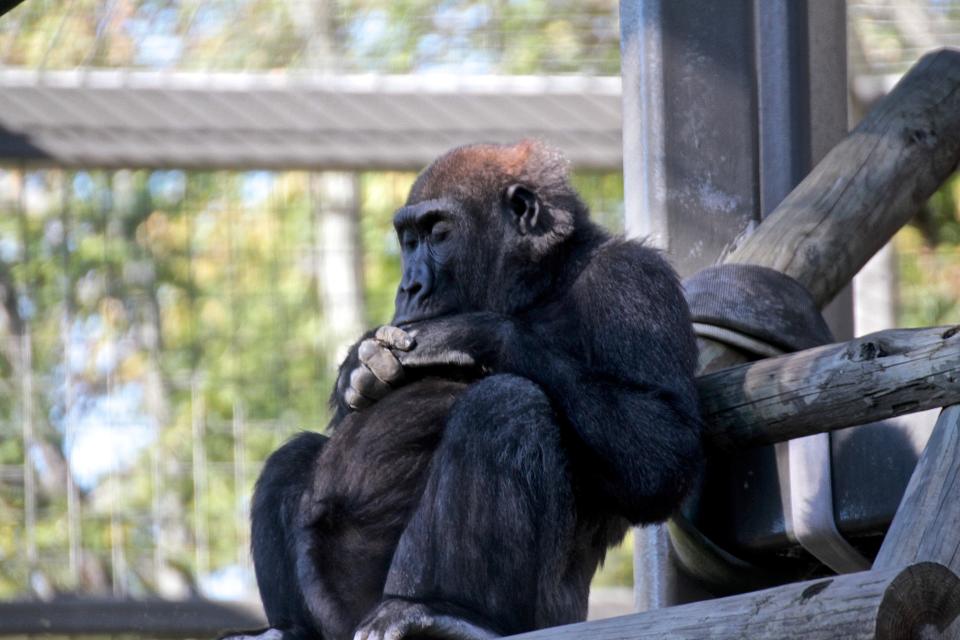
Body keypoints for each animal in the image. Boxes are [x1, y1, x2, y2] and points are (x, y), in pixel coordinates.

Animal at [244, 141, 700, 640]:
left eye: (438, 233)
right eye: (408, 240)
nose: (409, 285)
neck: (543, 281)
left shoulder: (635, 282)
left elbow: (660, 451)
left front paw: (468, 334)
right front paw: (359, 362)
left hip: (549, 617)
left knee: (506, 405)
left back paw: (445, 615)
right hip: (341, 615)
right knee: (295, 457)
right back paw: (291, 629)